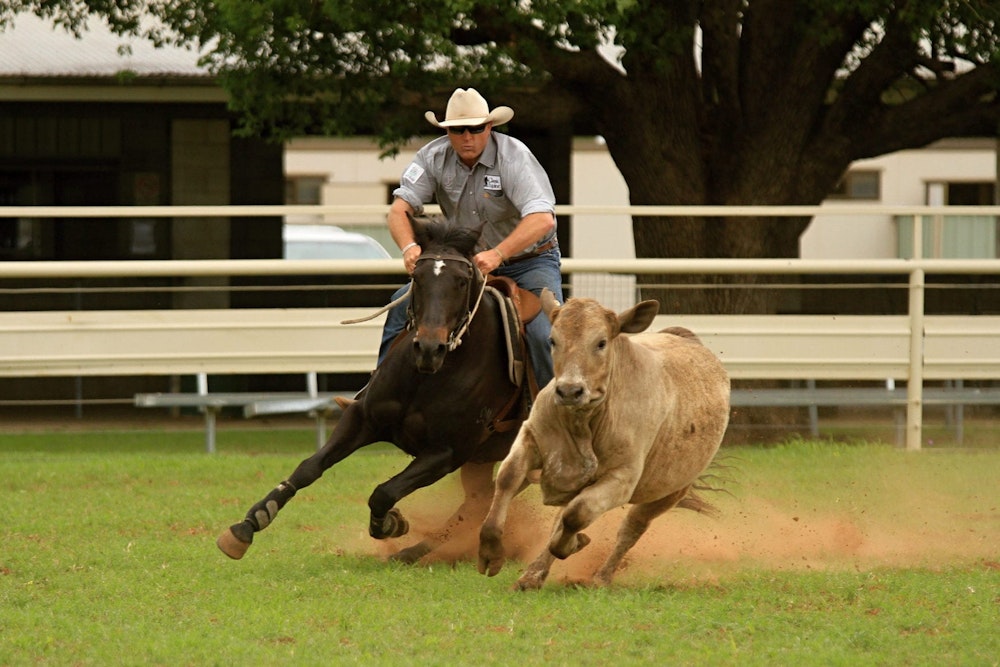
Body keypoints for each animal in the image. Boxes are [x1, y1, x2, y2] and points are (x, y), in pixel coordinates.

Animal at [216, 214, 536, 564]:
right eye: (417, 277)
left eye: (462, 281)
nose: (429, 348)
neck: (428, 378)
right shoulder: (361, 417)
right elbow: (309, 468)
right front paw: (250, 523)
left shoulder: (446, 452)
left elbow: (384, 492)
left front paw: (391, 524)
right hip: (482, 460)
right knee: (477, 502)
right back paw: (413, 552)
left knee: (481, 505)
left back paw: (414, 551)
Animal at [476, 292, 728, 588]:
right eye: (553, 340)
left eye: (601, 342)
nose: (569, 391)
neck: (585, 421)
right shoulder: (531, 438)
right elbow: (508, 478)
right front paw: (490, 553)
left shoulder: (622, 478)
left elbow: (577, 514)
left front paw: (574, 544)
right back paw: (531, 576)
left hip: (672, 490)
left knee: (630, 529)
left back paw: (601, 577)